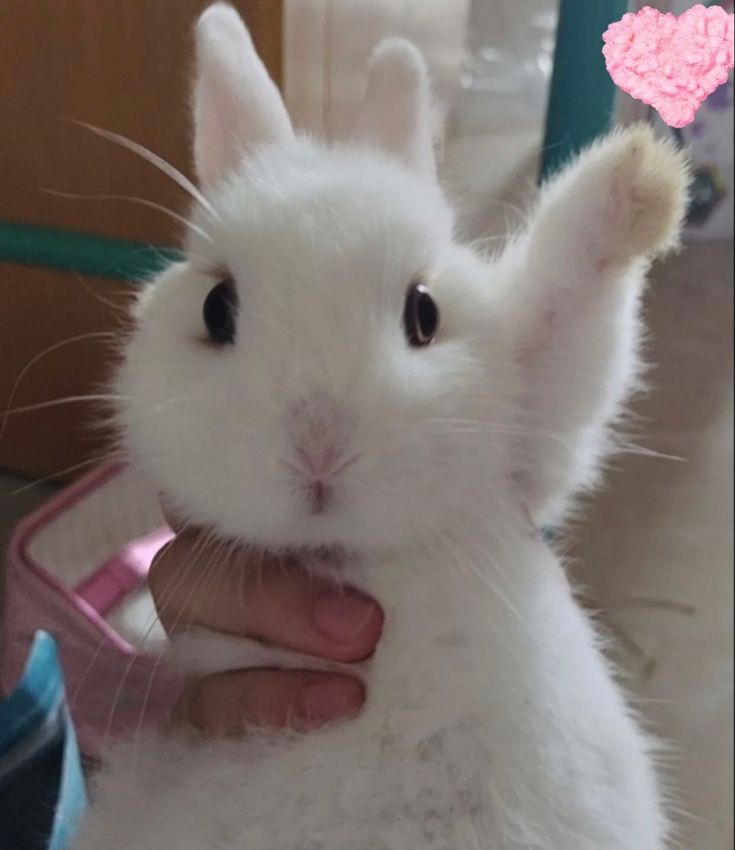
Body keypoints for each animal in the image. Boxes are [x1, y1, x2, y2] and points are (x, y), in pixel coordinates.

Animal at [73, 3, 688, 844]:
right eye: (216, 308)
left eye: (423, 312)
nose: (318, 446)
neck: (353, 556)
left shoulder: (535, 429)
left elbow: (569, 306)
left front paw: (644, 176)